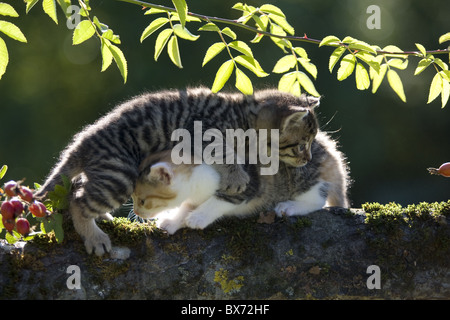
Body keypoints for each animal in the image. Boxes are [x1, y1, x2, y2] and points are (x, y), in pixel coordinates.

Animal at [35, 87, 320, 255]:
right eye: (301, 145)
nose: (308, 158)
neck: (243, 116)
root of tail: (83, 141)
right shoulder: (204, 132)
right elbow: (224, 153)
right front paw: (236, 177)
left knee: (77, 189)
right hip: (119, 174)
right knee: (78, 202)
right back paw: (94, 237)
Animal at [132, 112, 350, 232]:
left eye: (142, 200)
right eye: (133, 198)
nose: (136, 212)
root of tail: (331, 150)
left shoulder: (249, 182)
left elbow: (221, 200)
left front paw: (197, 218)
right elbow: (186, 206)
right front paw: (173, 221)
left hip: (303, 175)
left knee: (317, 199)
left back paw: (289, 206)